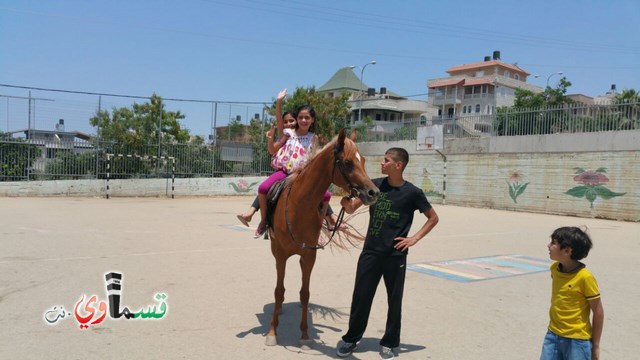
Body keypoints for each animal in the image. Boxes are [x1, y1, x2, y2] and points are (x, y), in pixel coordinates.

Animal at [262, 128, 378, 348]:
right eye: (348, 162)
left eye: (364, 160)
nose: (373, 192)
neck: (300, 205)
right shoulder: (281, 255)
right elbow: (278, 291)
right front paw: (272, 332)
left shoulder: (309, 256)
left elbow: (305, 293)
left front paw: (305, 335)